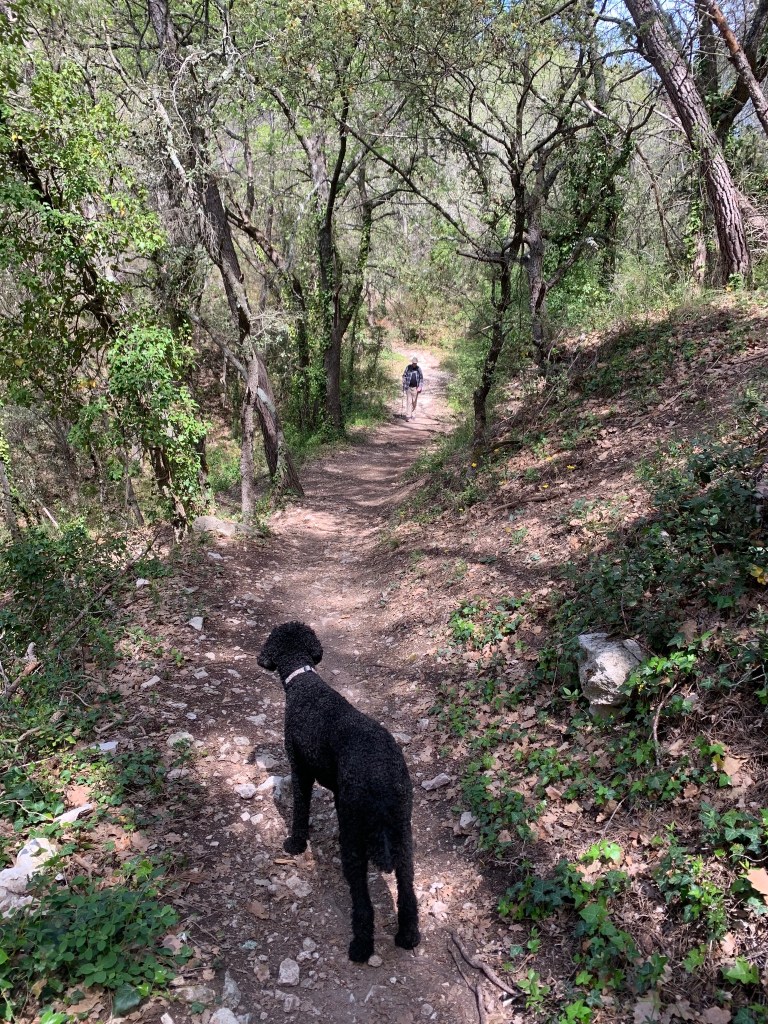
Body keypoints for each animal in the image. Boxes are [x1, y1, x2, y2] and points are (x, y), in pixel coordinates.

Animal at [257, 621, 420, 962]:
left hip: (356, 839)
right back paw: (408, 936)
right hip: (402, 833)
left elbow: (300, 809)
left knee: (363, 902)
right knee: (408, 891)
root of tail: (381, 780)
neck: (304, 681)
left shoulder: (300, 770)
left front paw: (295, 843)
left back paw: (360, 947)